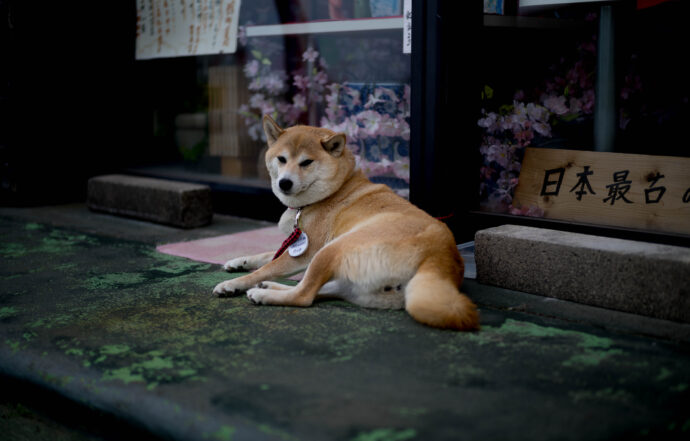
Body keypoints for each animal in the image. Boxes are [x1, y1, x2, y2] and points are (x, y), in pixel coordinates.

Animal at [211, 115, 478, 328]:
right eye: (282, 159)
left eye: (306, 162)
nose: (284, 183)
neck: (334, 191)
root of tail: (440, 257)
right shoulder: (295, 246)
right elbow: (267, 255)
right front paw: (238, 261)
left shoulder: (305, 252)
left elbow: (268, 265)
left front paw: (233, 283)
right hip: (357, 284)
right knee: (318, 290)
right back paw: (269, 288)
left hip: (331, 250)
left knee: (305, 295)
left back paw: (264, 294)